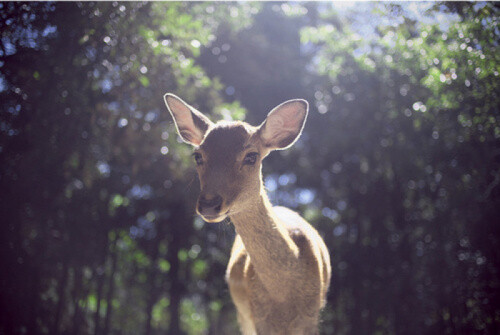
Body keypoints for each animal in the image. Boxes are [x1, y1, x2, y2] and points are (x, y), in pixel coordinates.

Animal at [164, 92, 332, 335]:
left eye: (251, 156)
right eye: (198, 155)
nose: (209, 204)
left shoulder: (311, 318)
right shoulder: (258, 318)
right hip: (243, 316)